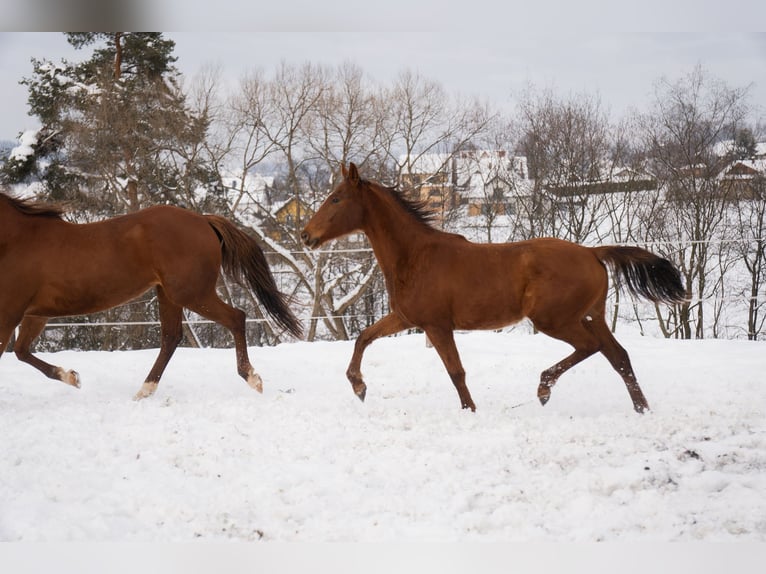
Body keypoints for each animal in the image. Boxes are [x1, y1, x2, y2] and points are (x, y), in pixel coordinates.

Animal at [0, 192, 302, 399]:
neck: (16, 240)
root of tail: (204, 220)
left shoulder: (11, 313)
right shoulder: (35, 314)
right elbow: (21, 351)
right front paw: (72, 377)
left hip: (191, 293)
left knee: (236, 317)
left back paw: (252, 378)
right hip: (169, 294)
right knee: (171, 337)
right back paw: (144, 390)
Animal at [301, 162, 686, 413]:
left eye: (336, 199)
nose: (306, 235)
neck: (414, 255)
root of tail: (593, 252)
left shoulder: (436, 325)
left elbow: (456, 371)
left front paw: (470, 411)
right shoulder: (407, 317)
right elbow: (363, 337)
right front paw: (359, 386)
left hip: (555, 320)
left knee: (592, 348)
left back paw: (544, 388)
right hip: (592, 316)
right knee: (618, 356)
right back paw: (642, 409)